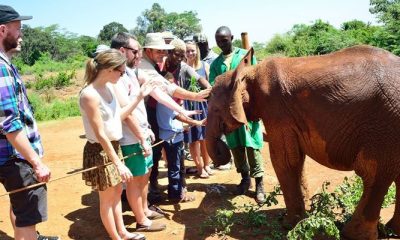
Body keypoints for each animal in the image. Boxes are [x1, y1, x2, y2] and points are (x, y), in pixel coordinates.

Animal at [206, 45, 400, 240]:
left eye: (215, 109)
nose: (221, 151)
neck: (250, 71)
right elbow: (296, 159)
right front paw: (303, 214)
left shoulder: (276, 110)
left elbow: (284, 160)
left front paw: (289, 225)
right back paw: (390, 230)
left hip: (385, 126)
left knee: (373, 174)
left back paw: (352, 234)